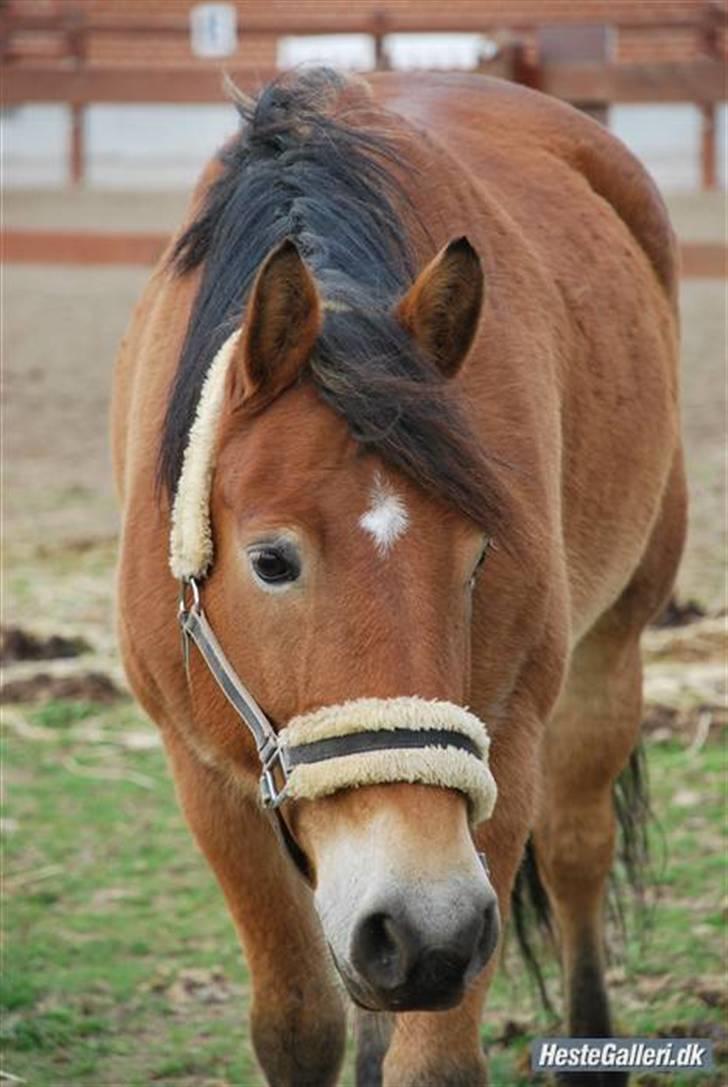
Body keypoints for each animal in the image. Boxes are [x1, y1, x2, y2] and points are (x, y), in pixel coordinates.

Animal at [112, 69, 686, 1087]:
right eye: (271, 560)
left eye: (479, 555)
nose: (424, 925)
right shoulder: (206, 780)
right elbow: (300, 1025)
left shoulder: (502, 752)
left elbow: (435, 1058)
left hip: (609, 651)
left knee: (578, 852)